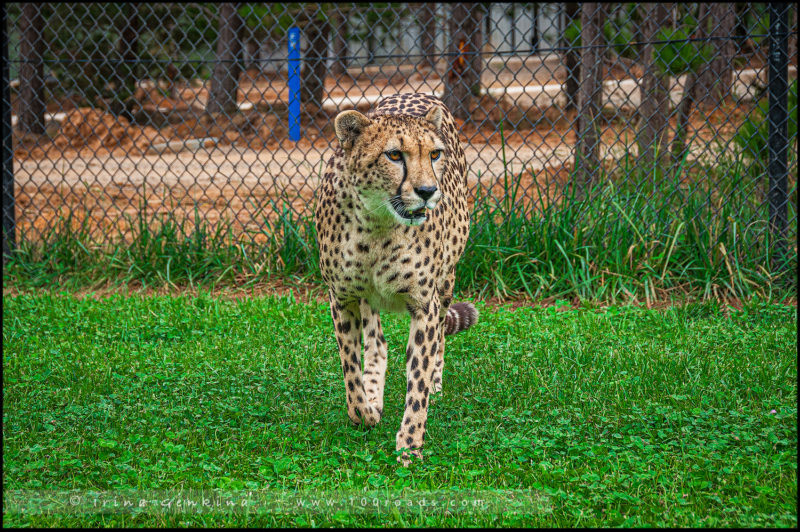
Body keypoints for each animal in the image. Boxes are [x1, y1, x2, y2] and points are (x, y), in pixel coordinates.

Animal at [312, 93, 476, 464]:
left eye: (434, 154)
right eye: (395, 155)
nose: (428, 190)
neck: (377, 223)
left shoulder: (424, 305)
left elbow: (418, 377)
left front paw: (410, 445)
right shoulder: (342, 297)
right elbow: (350, 370)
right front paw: (366, 412)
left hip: (447, 280)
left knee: (438, 338)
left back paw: (436, 382)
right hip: (368, 298)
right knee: (377, 342)